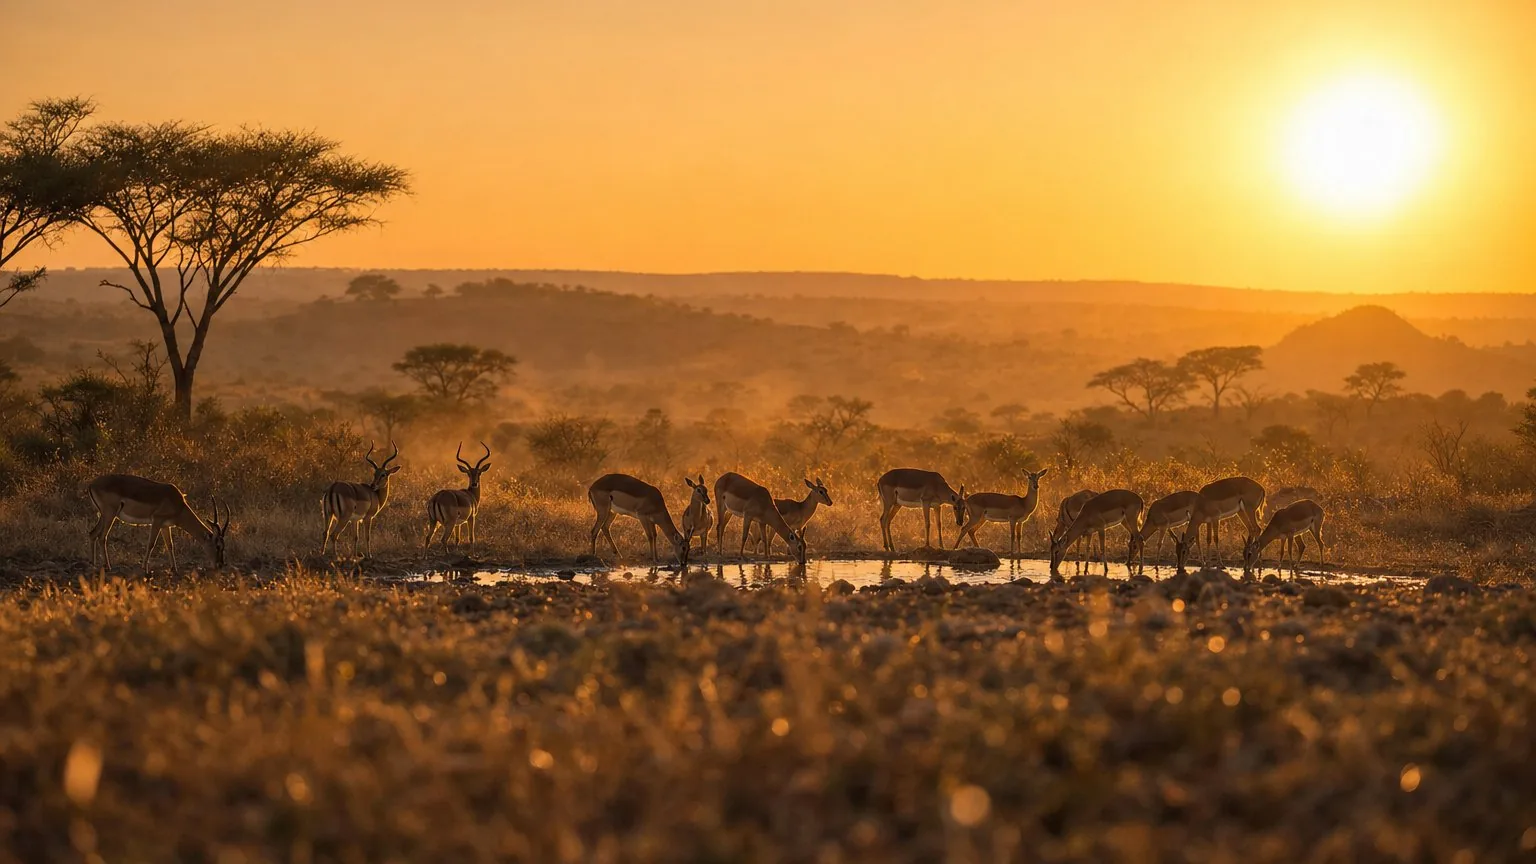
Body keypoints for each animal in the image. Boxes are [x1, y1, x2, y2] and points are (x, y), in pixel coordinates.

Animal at [87, 474, 230, 572]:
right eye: (218, 546)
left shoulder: (165, 526)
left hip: (105, 516)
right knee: (102, 537)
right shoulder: (157, 521)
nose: (220, 565)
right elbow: (151, 544)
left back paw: (93, 564)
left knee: (92, 533)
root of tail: (92, 484)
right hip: (110, 515)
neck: (178, 505)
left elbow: (170, 545)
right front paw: (145, 568)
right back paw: (108, 567)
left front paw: (174, 568)